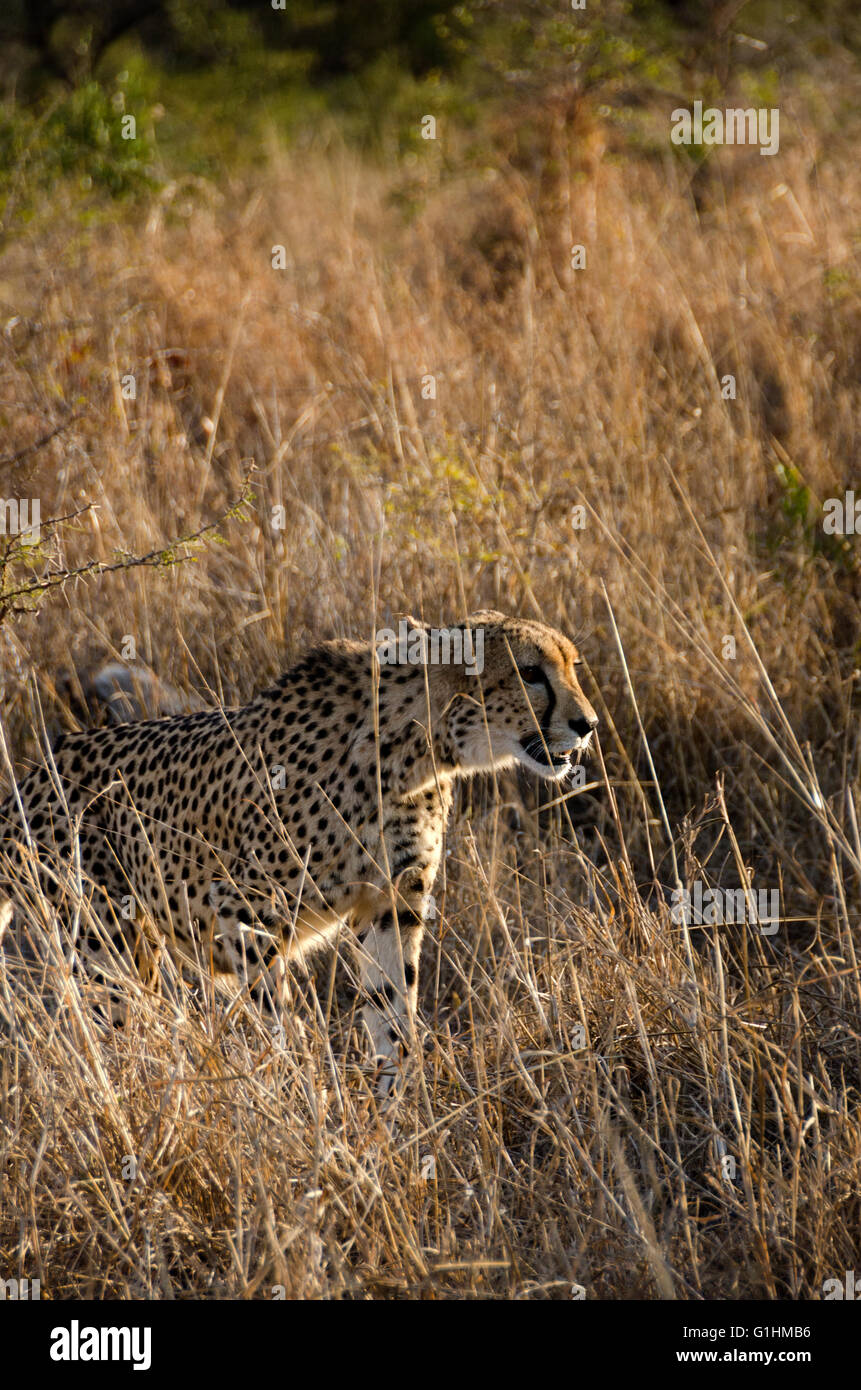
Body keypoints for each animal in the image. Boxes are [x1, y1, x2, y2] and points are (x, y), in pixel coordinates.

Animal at [0, 614, 600, 1100]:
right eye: (530, 673)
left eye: (573, 667)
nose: (588, 725)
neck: (417, 746)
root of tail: (35, 772)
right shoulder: (245, 912)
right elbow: (277, 1026)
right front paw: (298, 1099)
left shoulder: (391, 903)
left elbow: (392, 1011)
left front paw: (395, 1111)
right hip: (106, 947)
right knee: (115, 1036)